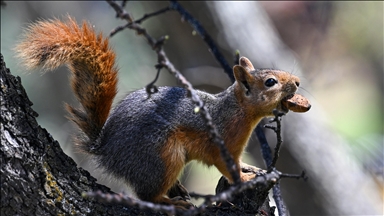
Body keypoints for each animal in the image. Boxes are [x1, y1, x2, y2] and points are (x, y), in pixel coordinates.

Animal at [15, 16, 310, 208]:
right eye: (270, 82)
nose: (297, 82)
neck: (235, 110)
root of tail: (106, 150)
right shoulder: (222, 144)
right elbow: (228, 169)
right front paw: (245, 178)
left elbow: (239, 163)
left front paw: (251, 168)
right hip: (162, 155)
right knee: (147, 197)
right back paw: (173, 203)